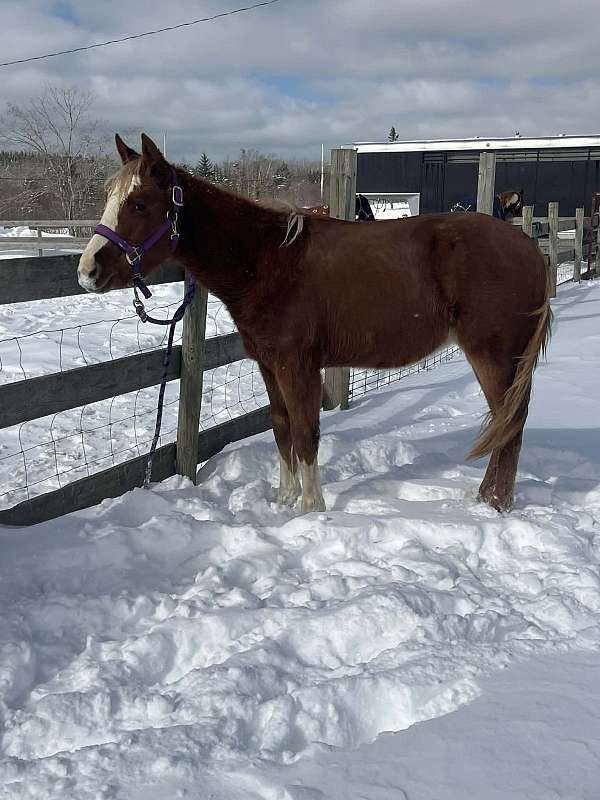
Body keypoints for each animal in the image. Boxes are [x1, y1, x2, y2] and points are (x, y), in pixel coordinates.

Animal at [78, 134, 551, 514]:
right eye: (109, 197)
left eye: (140, 203)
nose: (87, 272)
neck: (267, 262)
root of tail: (527, 246)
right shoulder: (269, 366)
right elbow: (282, 429)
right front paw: (284, 501)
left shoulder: (298, 366)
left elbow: (306, 434)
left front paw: (310, 509)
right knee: (507, 423)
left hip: (494, 356)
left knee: (510, 423)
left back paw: (495, 504)